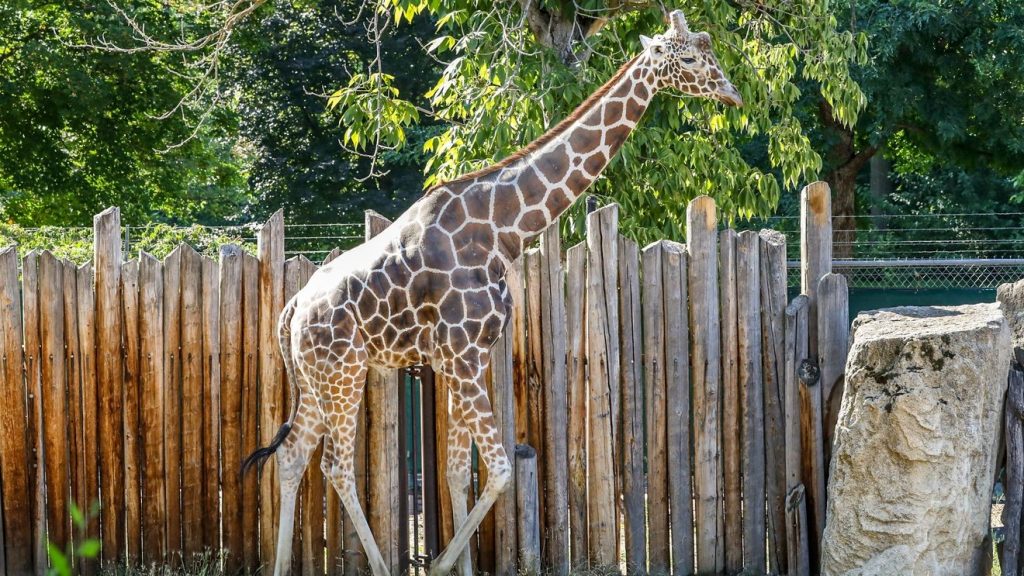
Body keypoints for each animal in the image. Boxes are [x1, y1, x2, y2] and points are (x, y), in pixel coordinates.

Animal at [242, 10, 742, 576]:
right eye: (690, 58)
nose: (732, 94)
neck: (504, 229)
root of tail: (292, 309)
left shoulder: (467, 357)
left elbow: (459, 471)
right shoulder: (460, 356)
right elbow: (499, 470)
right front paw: (439, 563)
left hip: (316, 377)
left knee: (291, 457)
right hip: (343, 372)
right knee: (336, 466)